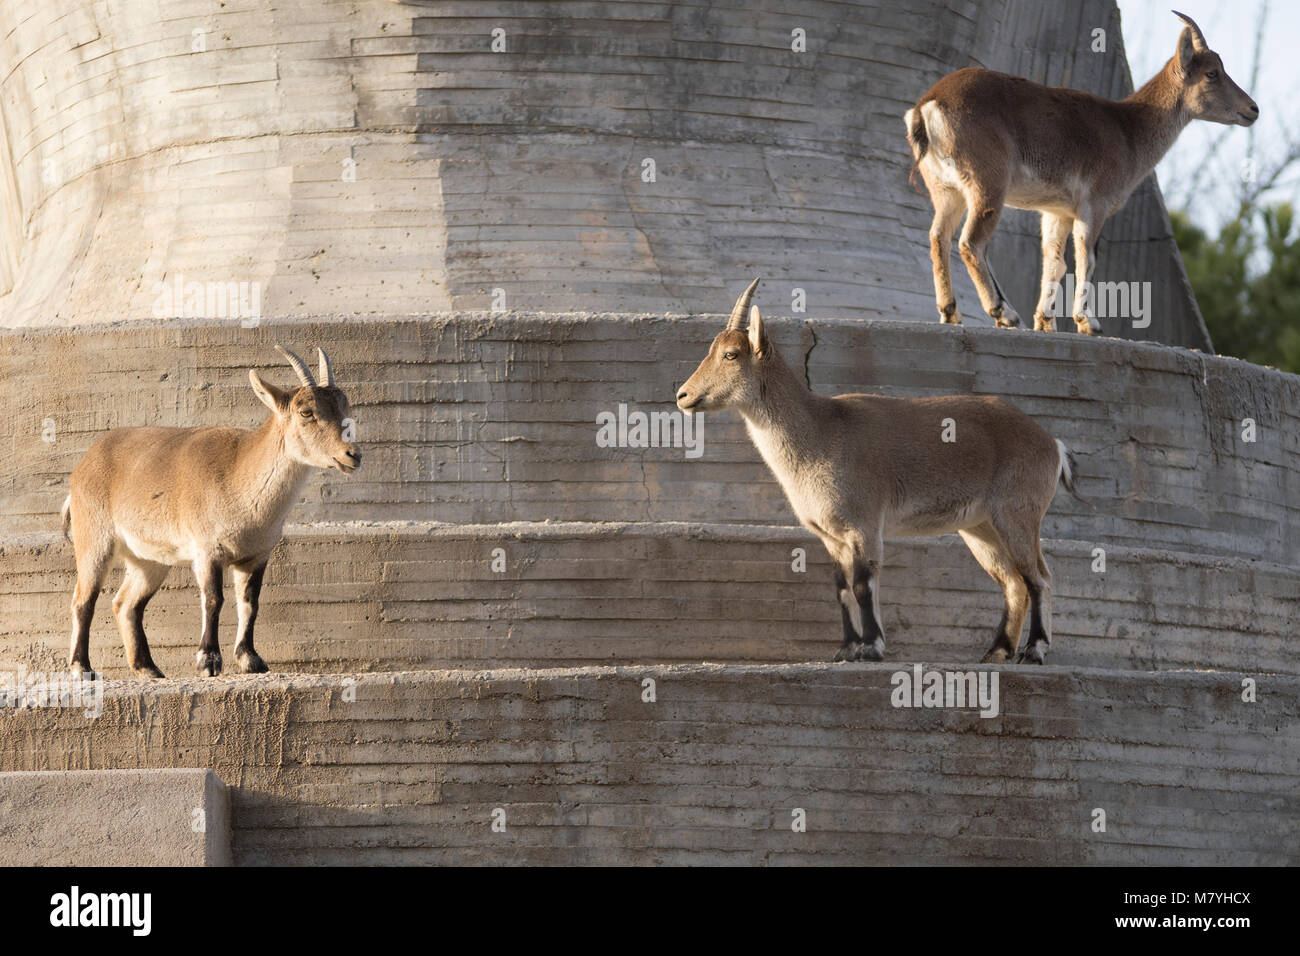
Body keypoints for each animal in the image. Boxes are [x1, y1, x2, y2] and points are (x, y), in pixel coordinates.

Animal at [62, 346, 361, 679]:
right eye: (306, 412)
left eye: (345, 407)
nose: (352, 455)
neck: (239, 478)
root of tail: (82, 467)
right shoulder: (208, 550)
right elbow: (213, 599)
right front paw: (208, 661)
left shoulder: (255, 555)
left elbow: (250, 603)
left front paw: (251, 660)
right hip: (94, 539)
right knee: (83, 600)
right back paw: (81, 667)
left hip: (149, 559)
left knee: (126, 603)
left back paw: (149, 669)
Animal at [676, 280, 1088, 663]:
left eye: (731, 354)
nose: (683, 395)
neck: (819, 432)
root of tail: (1051, 443)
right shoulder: (832, 537)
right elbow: (842, 589)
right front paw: (846, 650)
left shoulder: (864, 524)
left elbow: (863, 584)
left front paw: (871, 647)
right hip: (980, 527)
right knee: (1013, 582)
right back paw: (997, 652)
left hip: (1017, 515)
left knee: (1039, 577)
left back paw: (1034, 650)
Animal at [904, 10, 1257, 334]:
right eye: (1211, 73)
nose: (1252, 109)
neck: (1127, 130)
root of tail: (927, 106)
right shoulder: (1094, 205)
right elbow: (1087, 258)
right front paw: (1089, 322)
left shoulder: (1057, 211)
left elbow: (1055, 262)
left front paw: (1046, 323)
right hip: (988, 183)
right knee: (970, 242)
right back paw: (1004, 313)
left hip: (946, 189)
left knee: (938, 236)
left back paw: (951, 313)